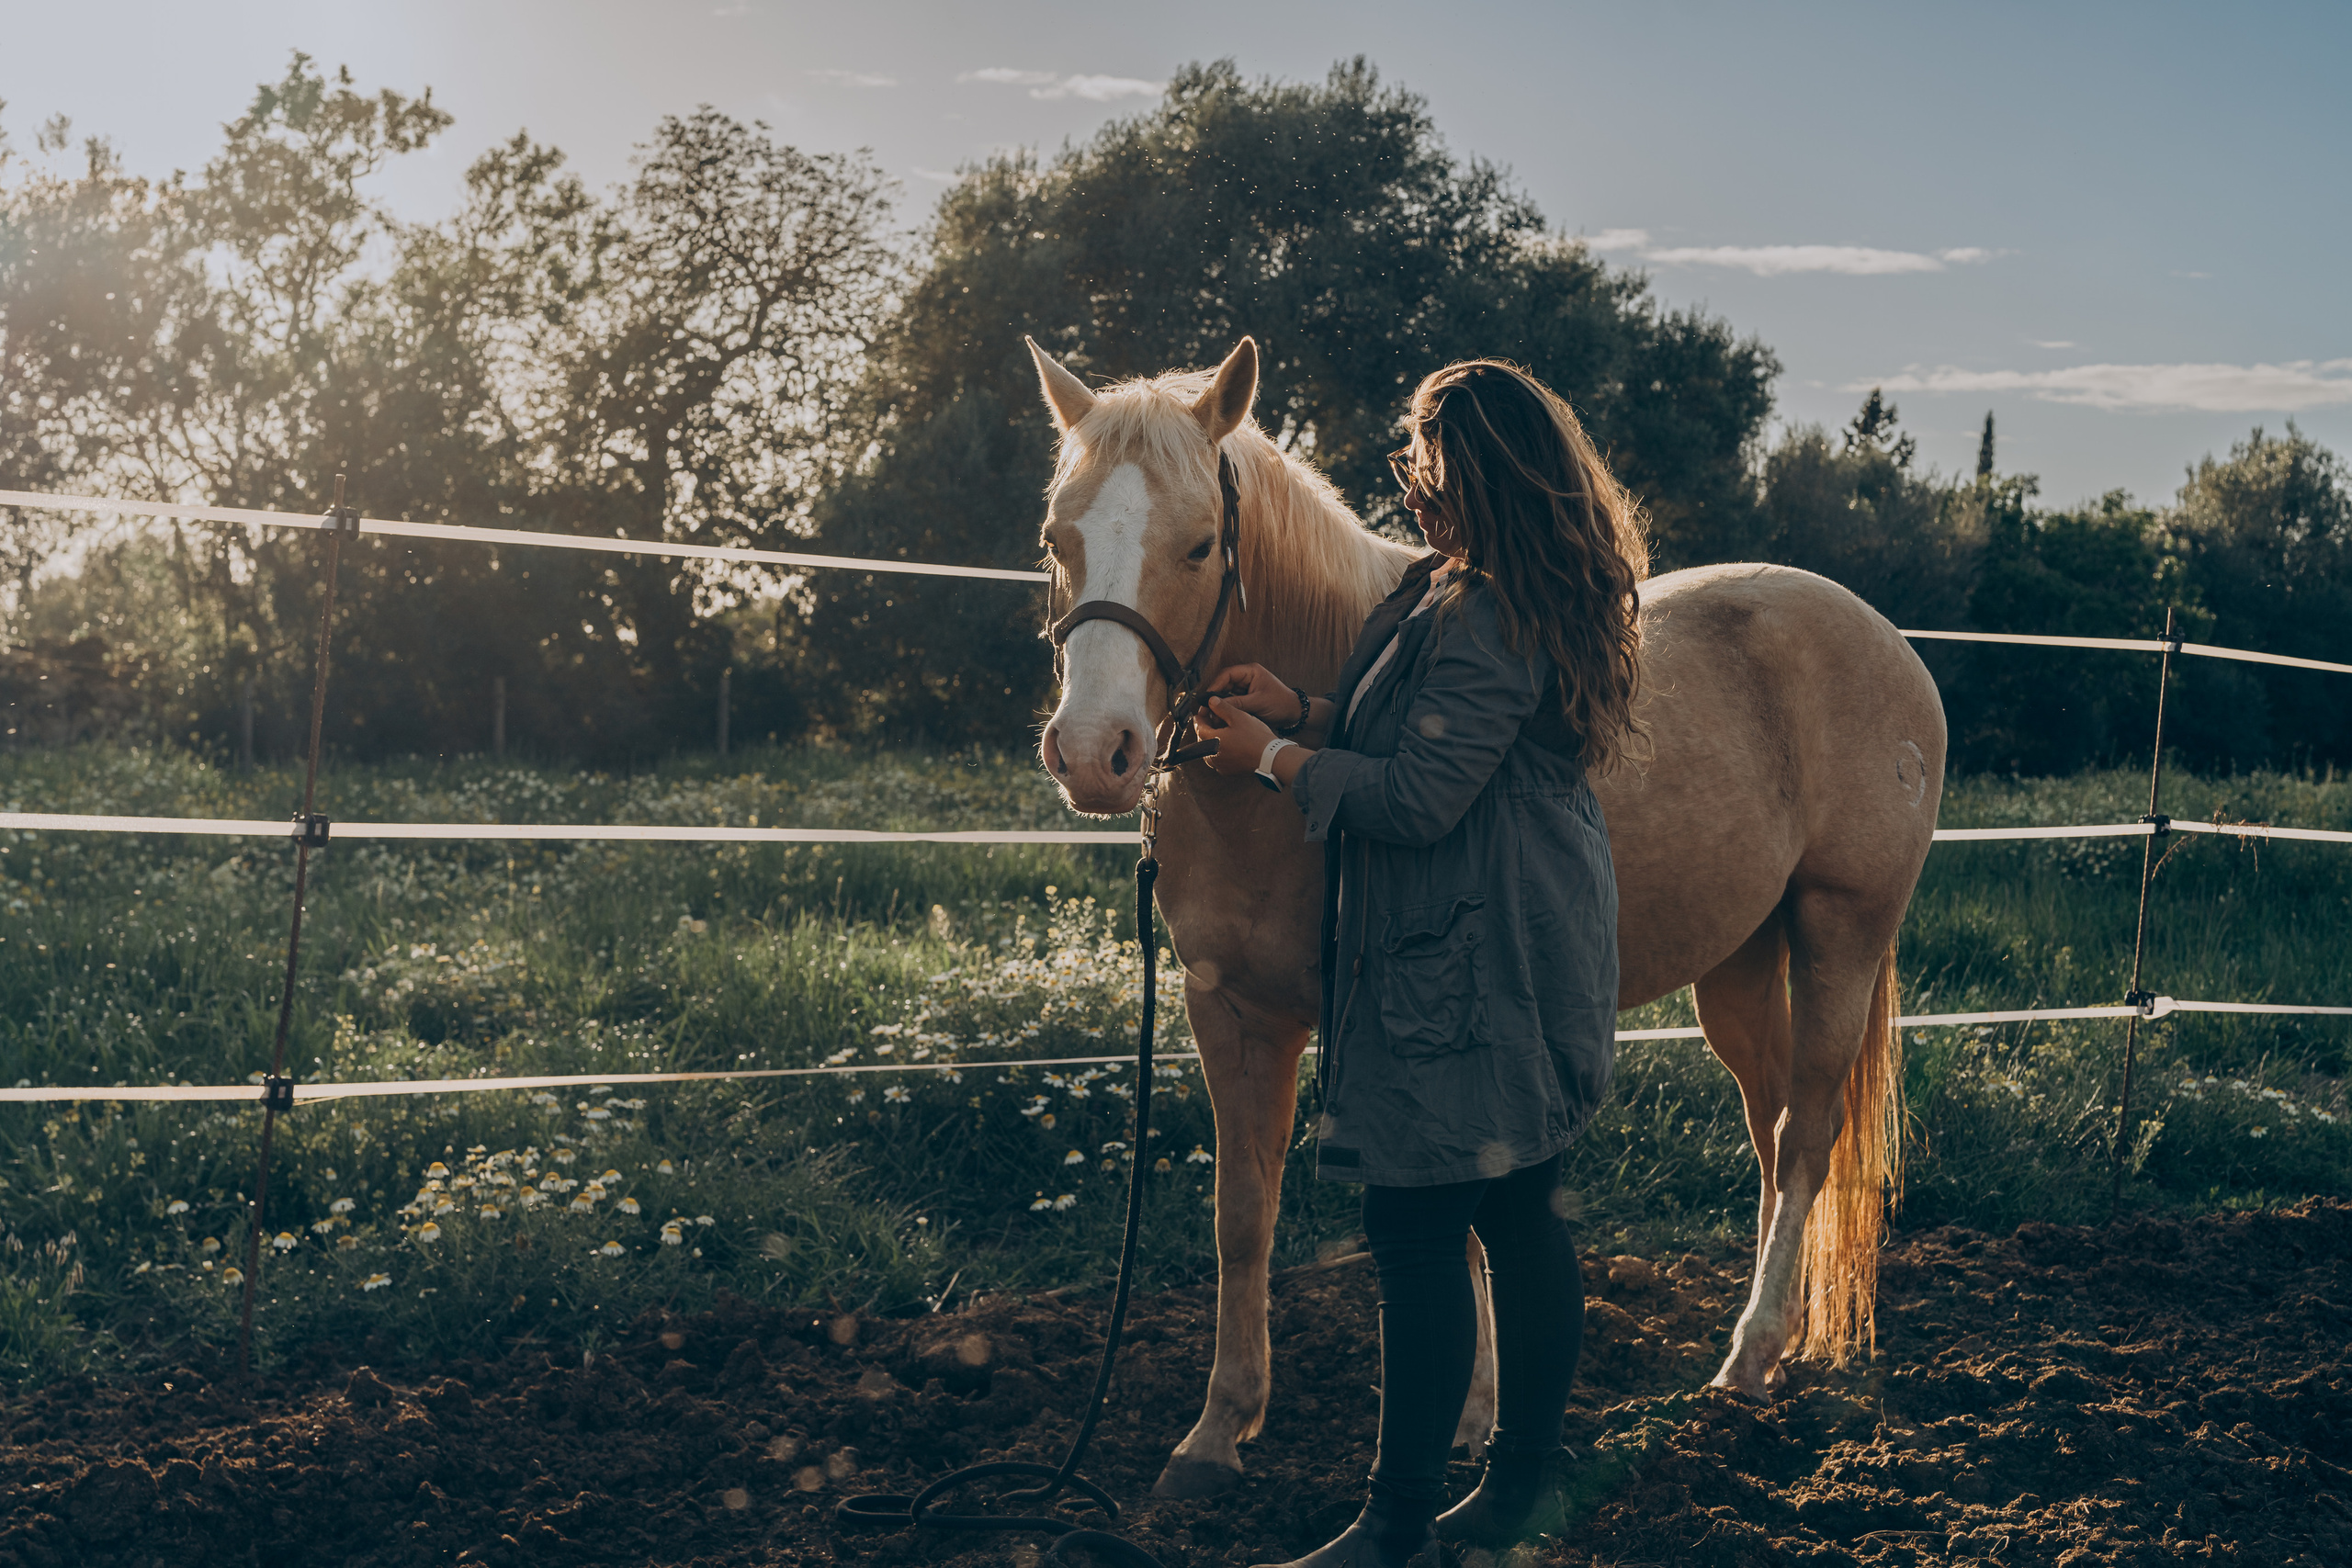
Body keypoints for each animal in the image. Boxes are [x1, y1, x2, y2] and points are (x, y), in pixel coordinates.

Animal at [1029, 335, 1944, 1500]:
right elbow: (1243, 1216)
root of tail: (1887, 639)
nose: (1094, 753)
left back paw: (1746, 1362)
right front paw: (1219, 1430)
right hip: (1738, 965)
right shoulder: (1229, 1015)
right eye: (1057, 538)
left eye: (1197, 545)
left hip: (1840, 932)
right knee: (1774, 1129)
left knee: (1809, 1132)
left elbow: (1442, 1212)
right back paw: (1769, 1340)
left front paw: (1464, 1414)